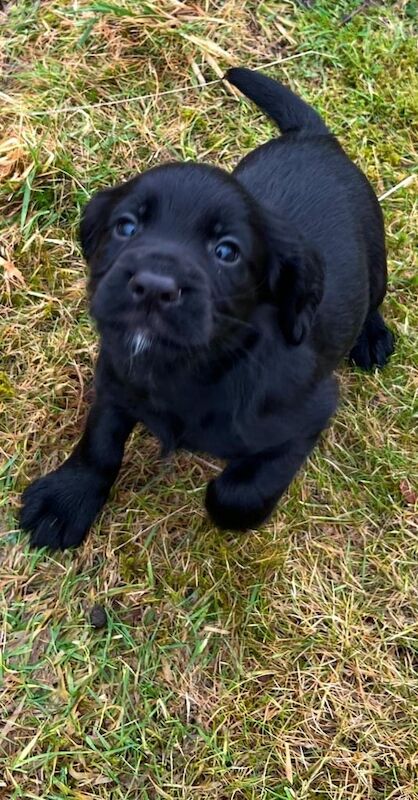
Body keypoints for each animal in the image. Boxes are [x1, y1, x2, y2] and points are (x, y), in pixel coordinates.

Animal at [21, 69, 396, 552]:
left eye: (227, 252)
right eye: (126, 226)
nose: (153, 286)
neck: (187, 366)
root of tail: (311, 136)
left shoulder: (308, 416)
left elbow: (235, 495)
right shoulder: (116, 377)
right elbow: (100, 443)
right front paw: (67, 501)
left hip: (375, 258)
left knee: (373, 299)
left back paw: (372, 337)